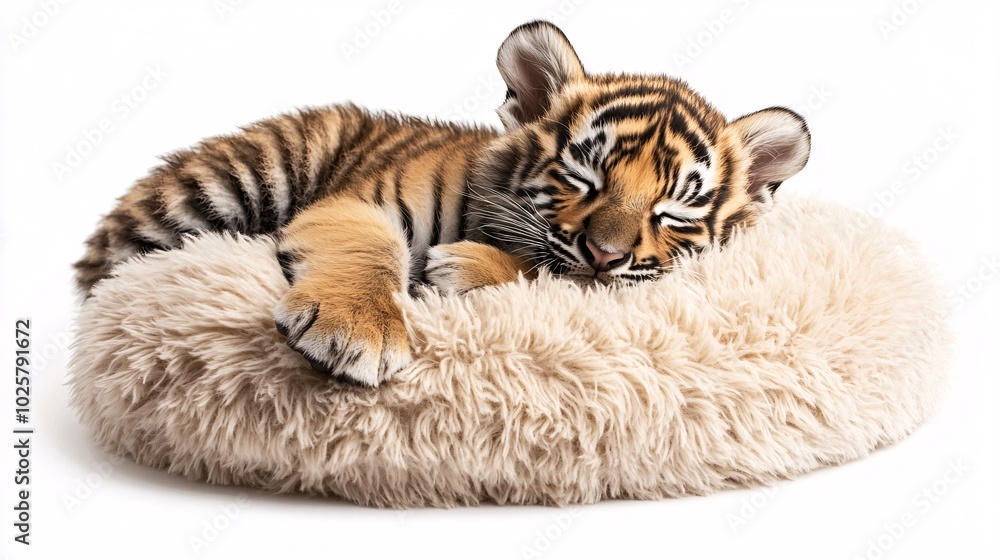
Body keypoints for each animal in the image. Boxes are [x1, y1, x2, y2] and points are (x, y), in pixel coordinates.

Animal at [75, 21, 810, 388]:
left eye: (673, 213)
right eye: (584, 177)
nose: (606, 253)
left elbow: (556, 276)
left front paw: (462, 266)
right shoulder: (356, 207)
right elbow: (370, 252)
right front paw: (360, 329)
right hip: (239, 176)